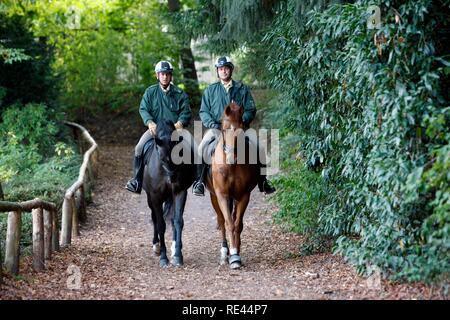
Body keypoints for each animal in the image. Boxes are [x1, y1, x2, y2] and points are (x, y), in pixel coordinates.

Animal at [142, 119, 196, 266]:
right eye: (161, 158)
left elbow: (178, 221)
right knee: (155, 218)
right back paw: (156, 245)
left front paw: (177, 255)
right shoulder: (155, 197)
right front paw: (163, 257)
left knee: (172, 219)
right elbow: (161, 224)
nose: (172, 179)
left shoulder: (179, 192)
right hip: (150, 198)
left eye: (180, 154)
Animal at [205, 102, 258, 268]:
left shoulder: (244, 195)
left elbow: (237, 224)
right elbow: (228, 223)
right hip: (214, 197)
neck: (231, 167)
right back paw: (224, 253)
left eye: (241, 128)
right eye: (224, 129)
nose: (230, 158)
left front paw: (236, 253)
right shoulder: (221, 195)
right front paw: (232, 254)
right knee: (222, 221)